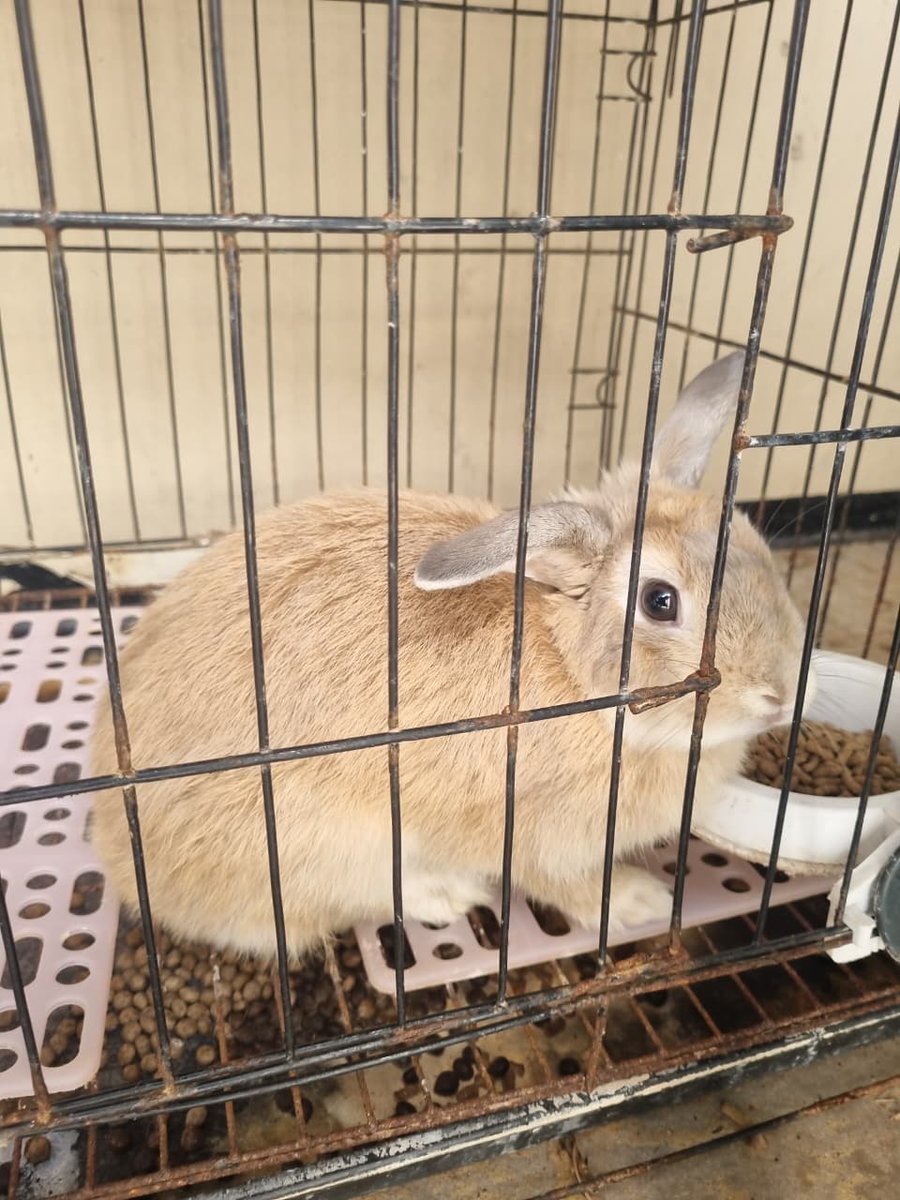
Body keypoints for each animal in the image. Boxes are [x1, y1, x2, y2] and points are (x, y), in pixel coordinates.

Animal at [89, 350, 810, 961]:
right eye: (660, 601)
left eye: (752, 541)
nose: (779, 696)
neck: (577, 680)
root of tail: (119, 853)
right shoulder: (532, 836)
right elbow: (567, 884)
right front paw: (641, 900)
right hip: (336, 846)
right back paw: (450, 895)